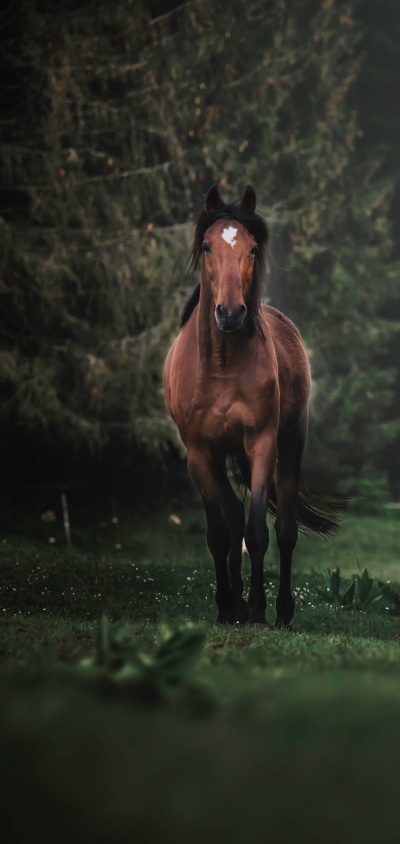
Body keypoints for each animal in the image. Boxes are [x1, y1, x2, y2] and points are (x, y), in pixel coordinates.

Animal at [164, 184, 341, 627]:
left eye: (253, 248)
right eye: (207, 246)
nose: (230, 313)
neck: (222, 365)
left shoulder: (262, 445)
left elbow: (258, 532)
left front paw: (258, 612)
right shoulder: (200, 453)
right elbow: (219, 533)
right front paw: (228, 607)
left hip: (290, 446)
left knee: (285, 530)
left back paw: (281, 612)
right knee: (231, 515)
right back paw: (236, 605)